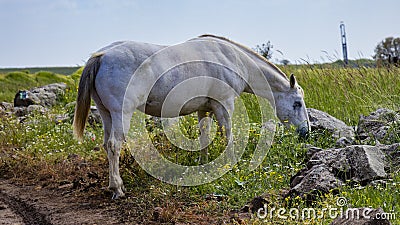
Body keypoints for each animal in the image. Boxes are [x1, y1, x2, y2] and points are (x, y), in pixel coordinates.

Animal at [72, 34, 310, 199]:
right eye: (297, 103)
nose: (306, 132)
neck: (233, 59)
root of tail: (101, 56)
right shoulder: (224, 104)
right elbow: (228, 135)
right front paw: (231, 165)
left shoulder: (204, 108)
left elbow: (204, 135)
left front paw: (203, 163)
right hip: (121, 113)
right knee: (114, 145)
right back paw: (118, 188)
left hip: (106, 114)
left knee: (106, 144)